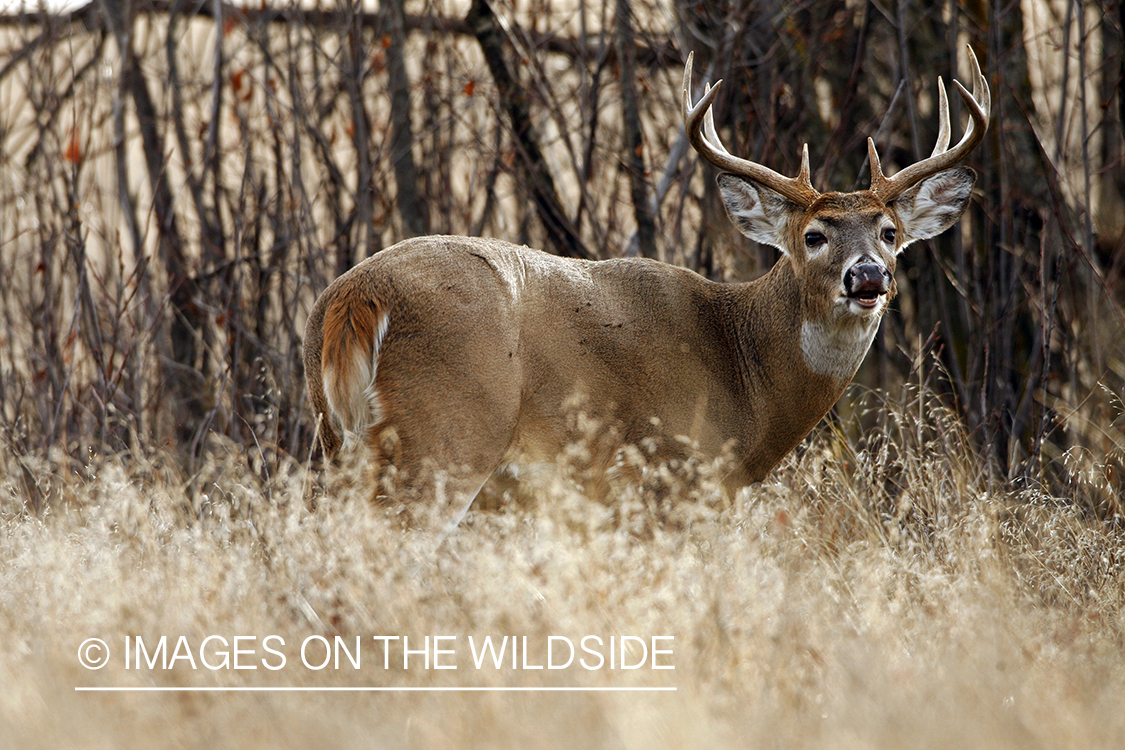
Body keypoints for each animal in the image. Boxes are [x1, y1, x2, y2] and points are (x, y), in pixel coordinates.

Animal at [301, 46, 994, 530]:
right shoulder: (671, 477)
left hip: (337, 437)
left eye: (889, 231)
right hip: (444, 434)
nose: (868, 276)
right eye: (814, 235)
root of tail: (355, 298)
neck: (743, 372)